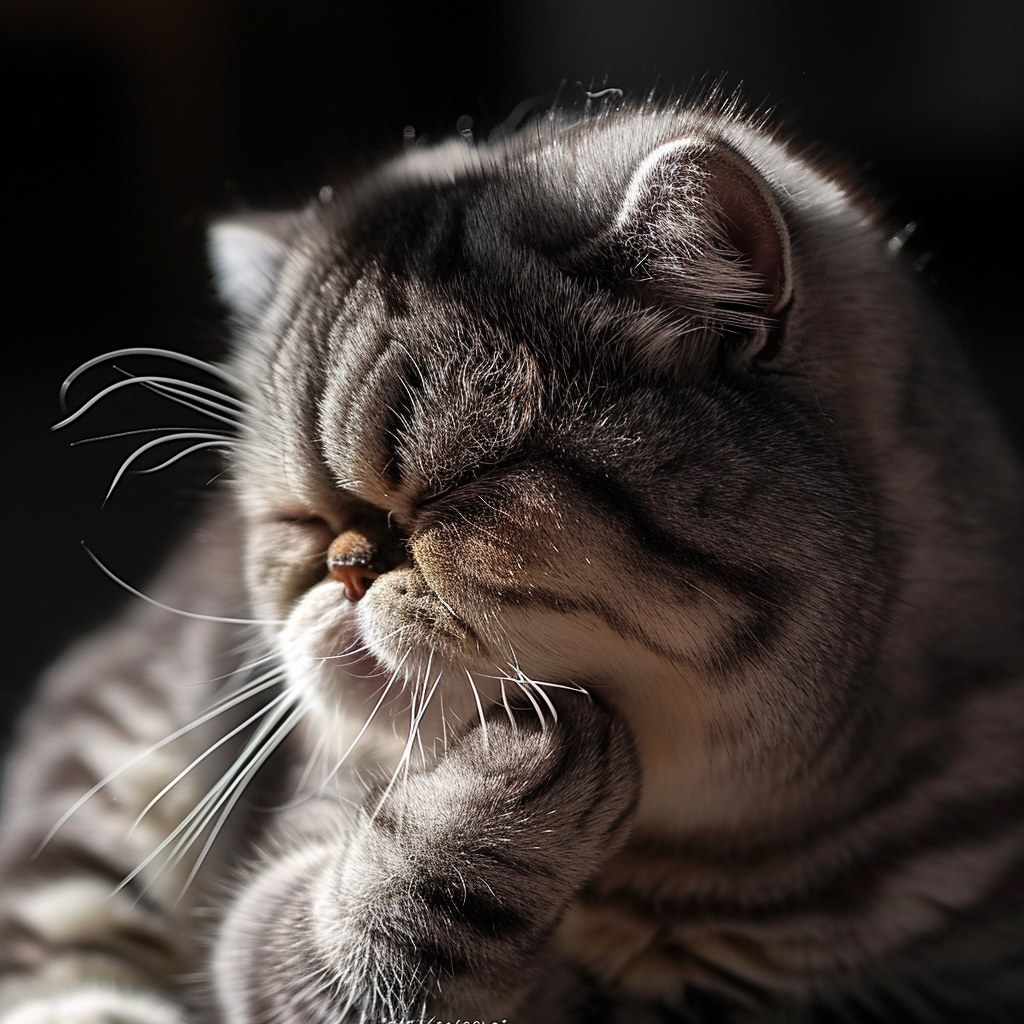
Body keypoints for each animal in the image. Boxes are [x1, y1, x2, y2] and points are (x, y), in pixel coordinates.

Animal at [2, 97, 1024, 1024]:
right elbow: (374, 930)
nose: (344, 565)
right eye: (296, 517)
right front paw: (513, 775)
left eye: (456, 491)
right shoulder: (276, 896)